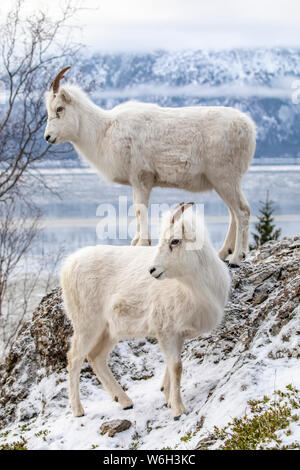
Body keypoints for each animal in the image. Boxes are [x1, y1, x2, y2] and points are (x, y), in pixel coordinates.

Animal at [44, 66, 255, 266]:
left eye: (59, 108)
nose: (48, 137)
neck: (104, 132)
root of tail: (250, 129)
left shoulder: (141, 178)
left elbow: (140, 209)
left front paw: (142, 243)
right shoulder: (137, 182)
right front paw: (137, 242)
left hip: (225, 179)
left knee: (242, 211)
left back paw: (236, 258)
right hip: (223, 183)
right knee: (233, 214)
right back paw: (222, 254)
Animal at [60, 202, 230, 418]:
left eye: (175, 241)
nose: (152, 270)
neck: (195, 288)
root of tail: (68, 265)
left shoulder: (177, 334)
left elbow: (172, 365)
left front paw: (167, 397)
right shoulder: (167, 331)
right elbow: (176, 367)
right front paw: (178, 409)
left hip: (109, 331)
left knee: (96, 357)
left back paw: (125, 402)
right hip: (87, 325)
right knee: (74, 359)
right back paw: (78, 410)